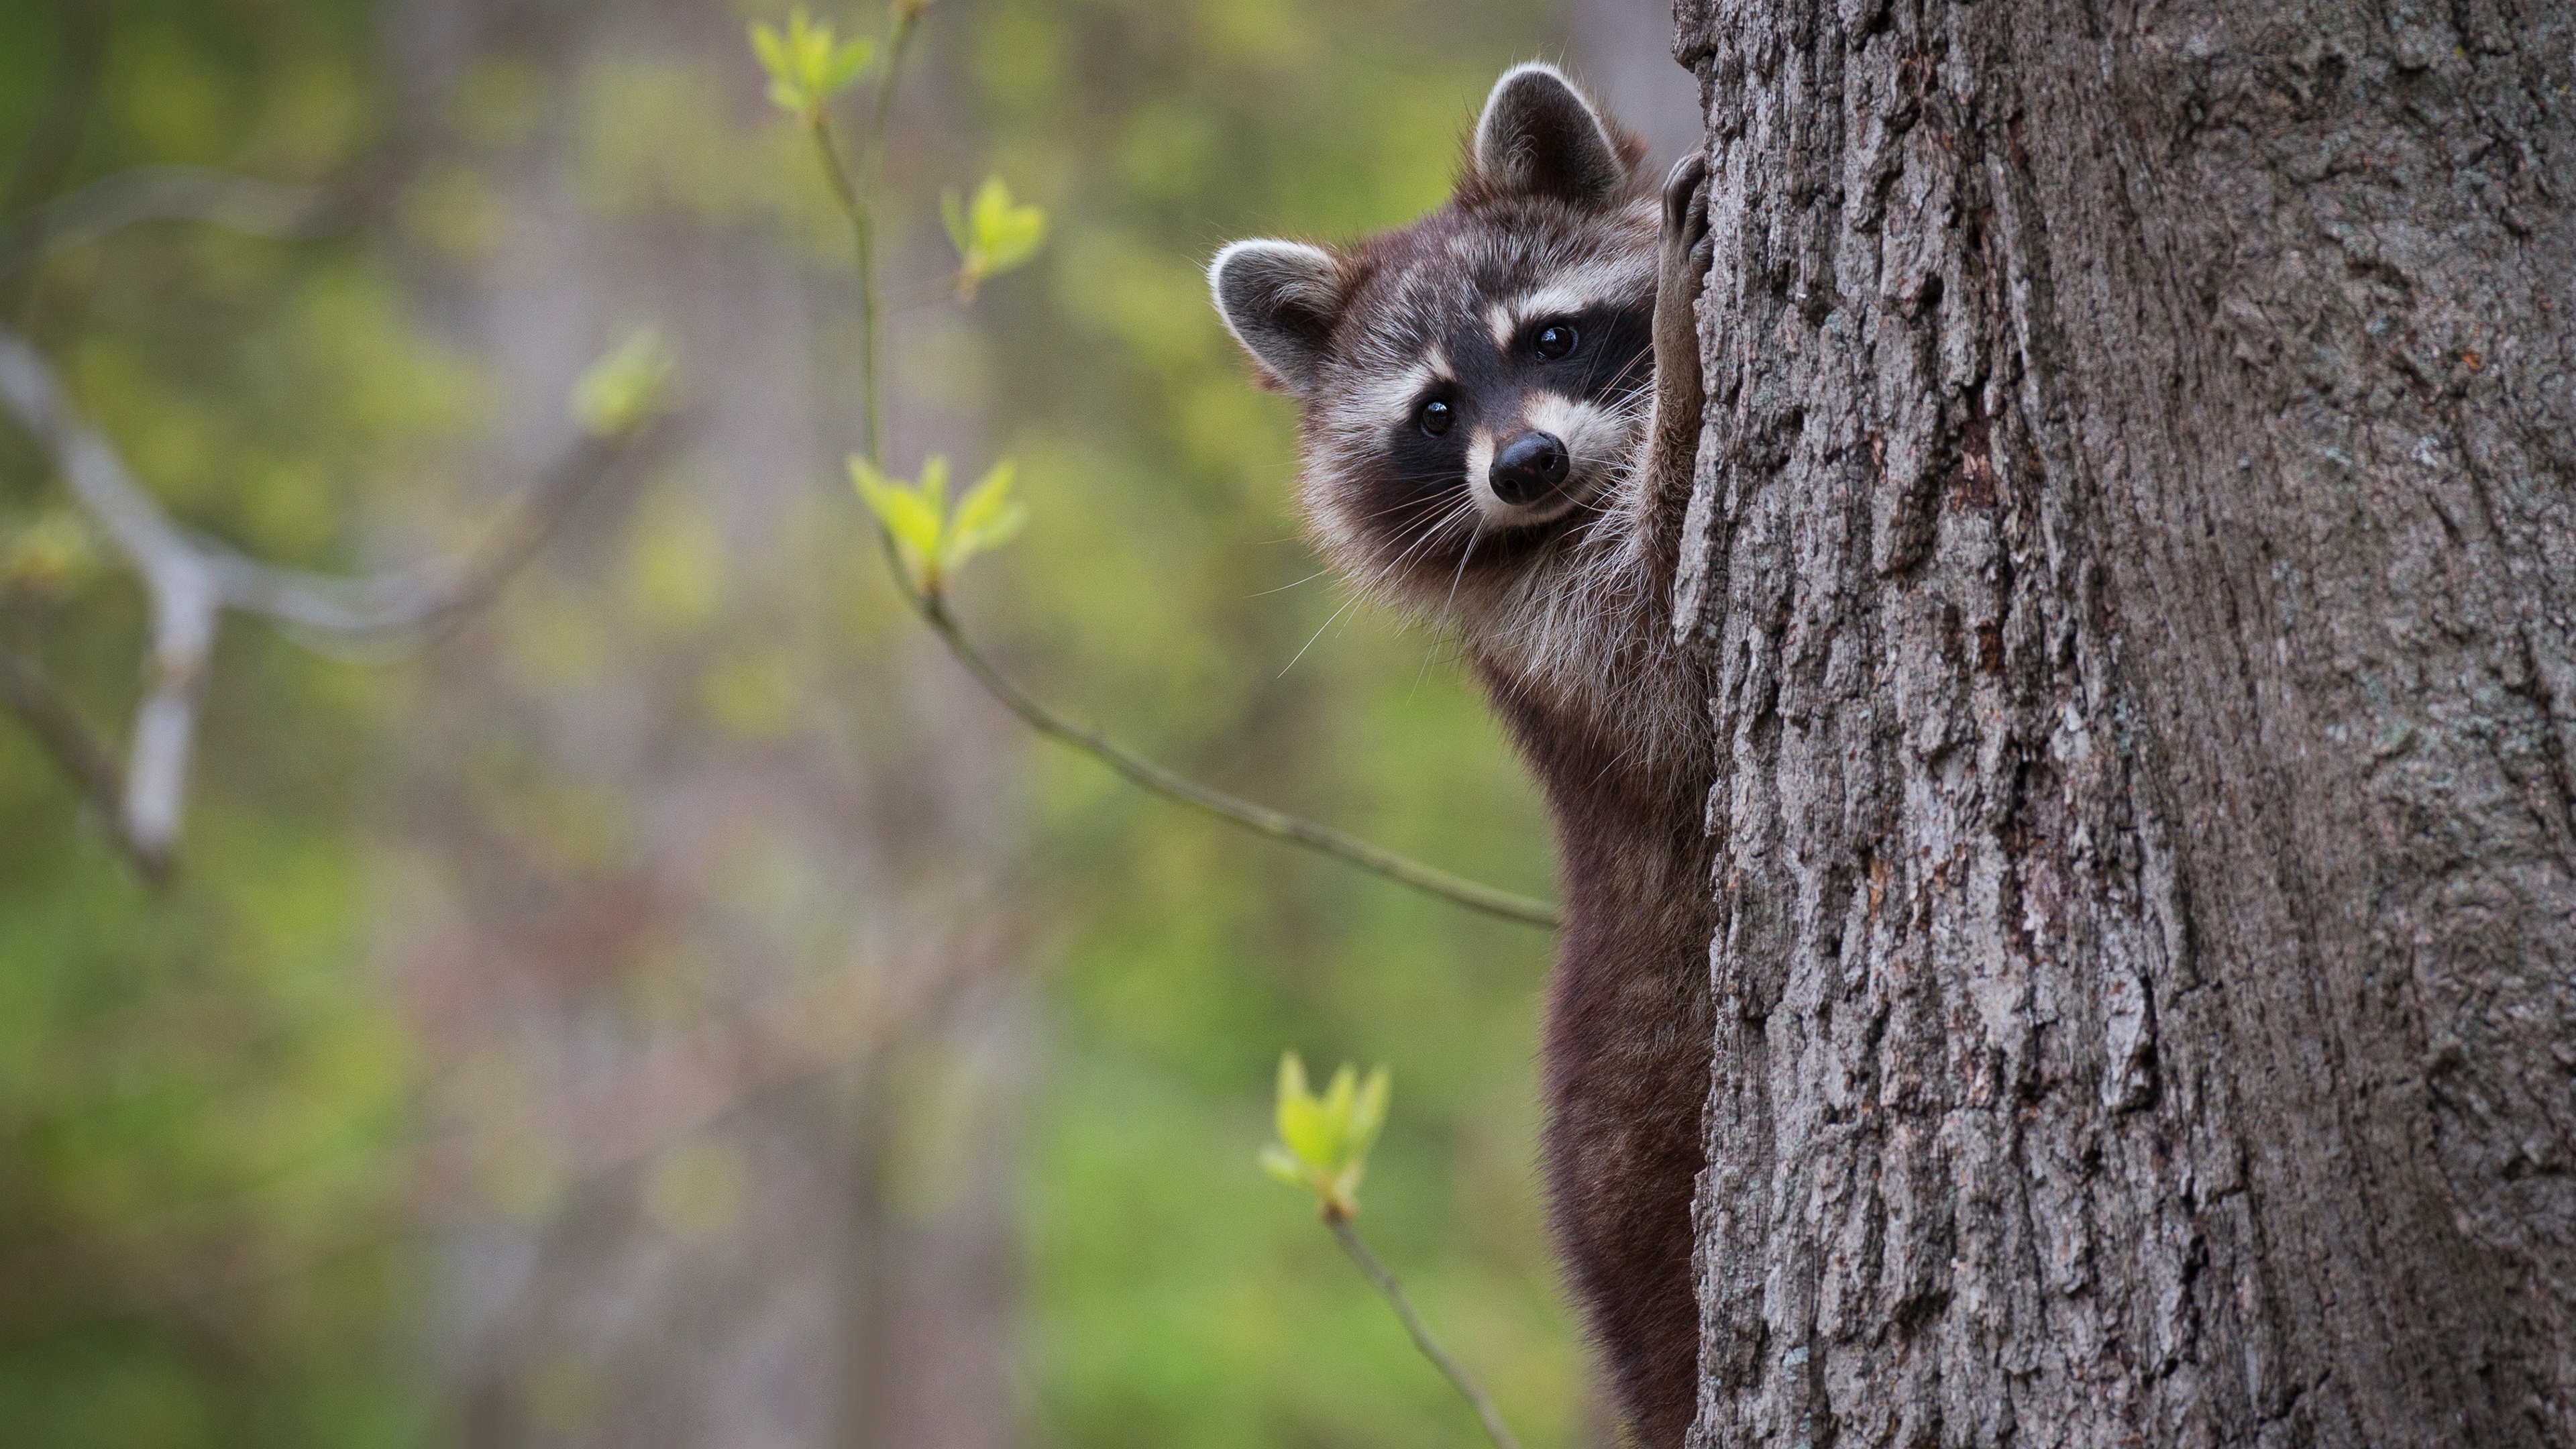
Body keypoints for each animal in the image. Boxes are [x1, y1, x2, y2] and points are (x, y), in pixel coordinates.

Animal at [1210, 64, 1731, 1433]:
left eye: (1549, 338)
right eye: (1436, 413)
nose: (1528, 464)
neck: (1561, 511)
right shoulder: (1571, 648)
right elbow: (1677, 662)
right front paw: (1686, 354)